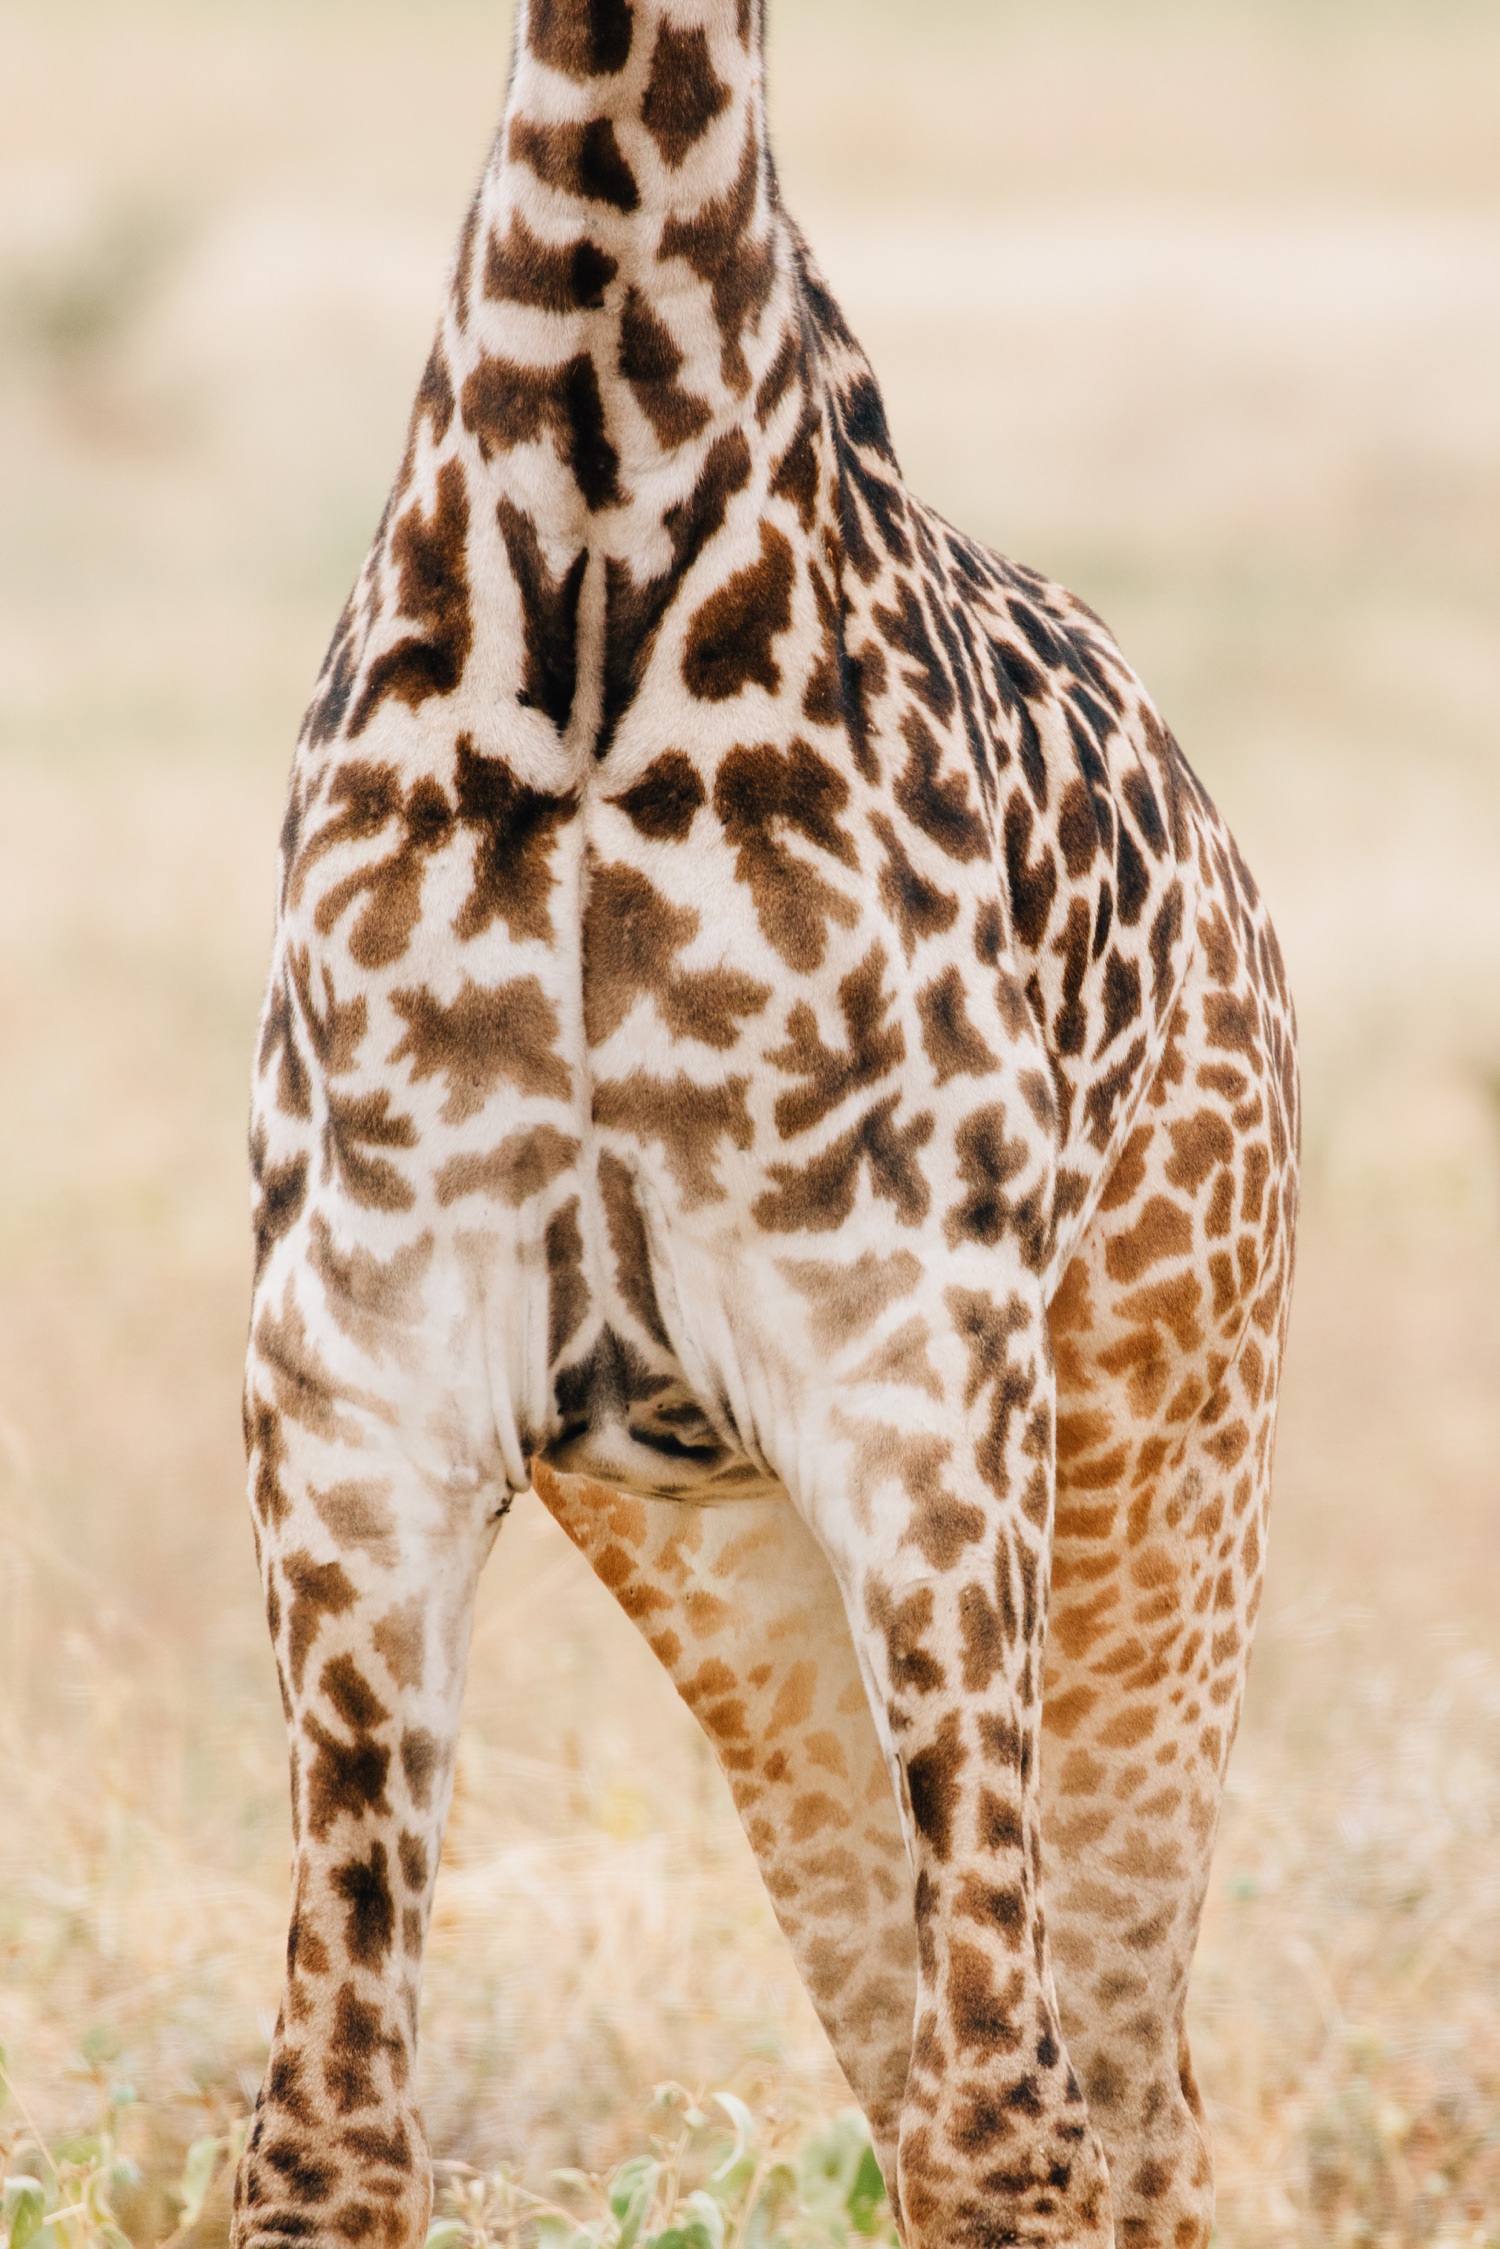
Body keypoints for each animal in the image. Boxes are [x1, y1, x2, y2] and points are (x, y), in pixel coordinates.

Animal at [235, 0, 1295, 2240]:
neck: (587, 577)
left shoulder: (923, 1403)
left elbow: (1014, 2120)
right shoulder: (354, 1387)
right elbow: (330, 2129)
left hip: (1161, 1484)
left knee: (1129, 2104)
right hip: (736, 1568)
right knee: (943, 2075)